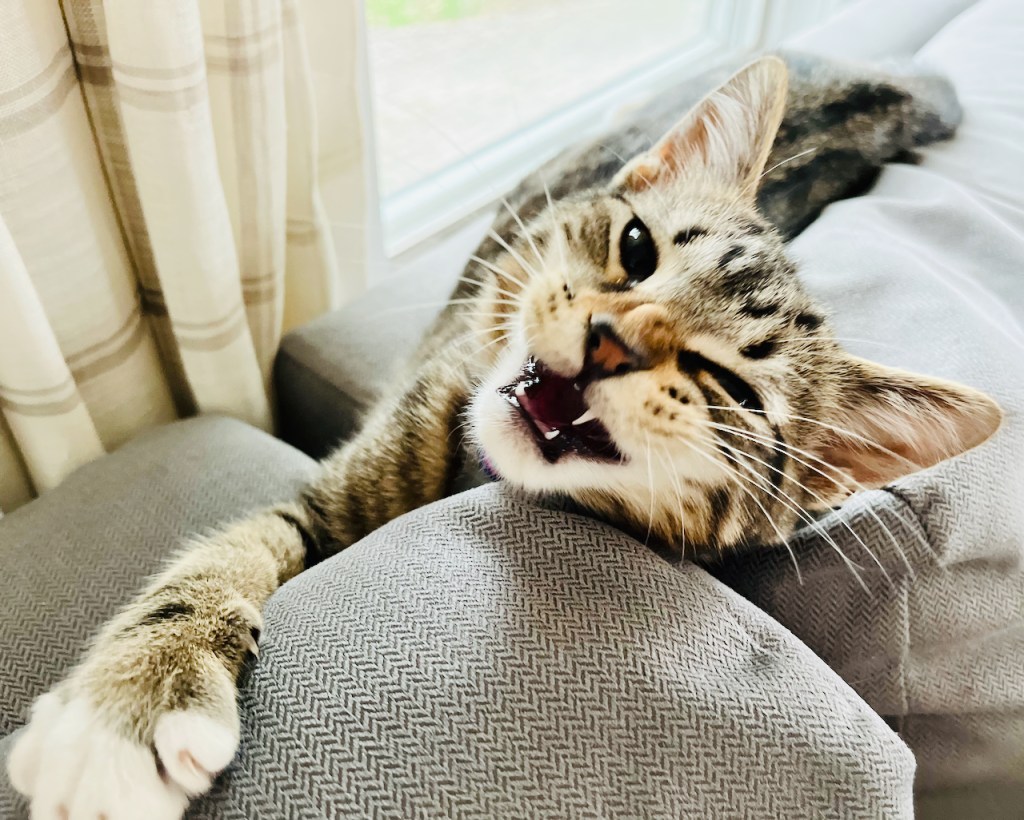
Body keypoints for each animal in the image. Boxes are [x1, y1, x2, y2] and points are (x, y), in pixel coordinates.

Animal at [8, 54, 1002, 818]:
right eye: (636, 248)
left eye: (732, 388)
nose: (611, 340)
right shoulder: (329, 490)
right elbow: (219, 558)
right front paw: (134, 699)